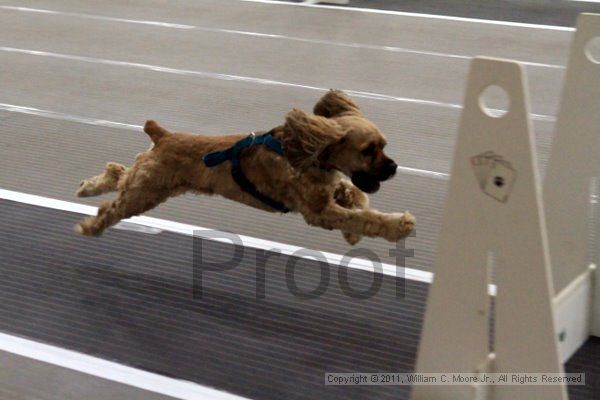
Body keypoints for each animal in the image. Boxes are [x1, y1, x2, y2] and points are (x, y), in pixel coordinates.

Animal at [75, 90, 414, 244]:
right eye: (368, 150)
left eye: (384, 145)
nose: (394, 167)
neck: (310, 155)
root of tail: (163, 135)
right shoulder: (319, 211)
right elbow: (364, 218)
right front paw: (399, 224)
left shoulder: (328, 191)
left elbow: (356, 197)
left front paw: (354, 231)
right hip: (145, 192)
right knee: (111, 208)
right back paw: (91, 226)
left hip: (149, 183)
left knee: (118, 172)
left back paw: (88, 186)